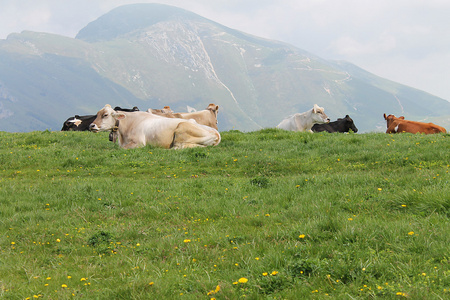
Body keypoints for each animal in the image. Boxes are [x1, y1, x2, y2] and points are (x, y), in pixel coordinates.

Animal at [89, 105, 221, 149]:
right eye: (97, 114)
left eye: (105, 115)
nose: (91, 125)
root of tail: (217, 133)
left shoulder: (139, 143)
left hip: (182, 128)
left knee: (178, 147)